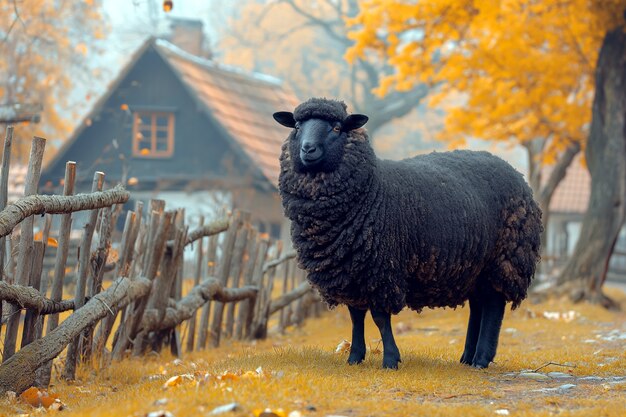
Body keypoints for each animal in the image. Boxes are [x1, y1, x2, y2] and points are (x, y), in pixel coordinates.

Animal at [272, 97, 540, 368]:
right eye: (297, 127)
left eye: (337, 128)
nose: (308, 149)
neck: (372, 189)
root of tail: (518, 175)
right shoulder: (351, 272)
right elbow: (356, 316)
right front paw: (355, 356)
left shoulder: (381, 269)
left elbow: (380, 318)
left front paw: (391, 359)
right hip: (476, 266)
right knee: (478, 305)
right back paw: (467, 357)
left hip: (505, 258)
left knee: (494, 304)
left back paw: (482, 359)